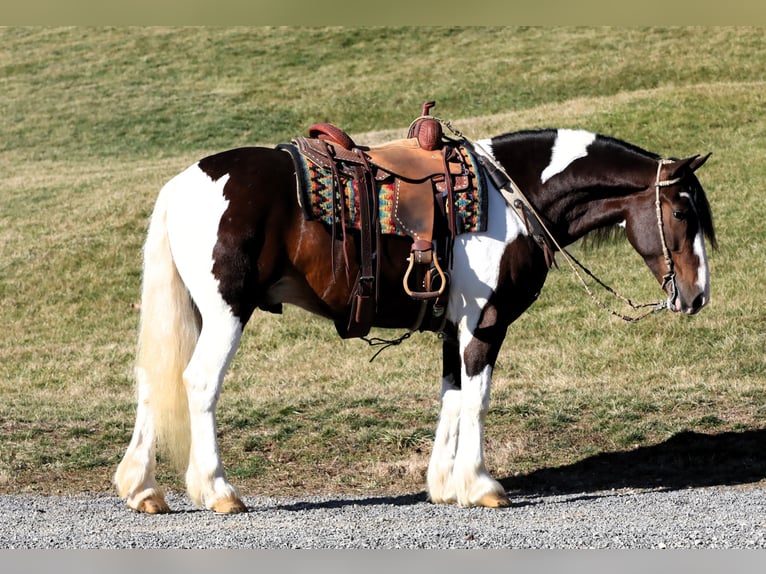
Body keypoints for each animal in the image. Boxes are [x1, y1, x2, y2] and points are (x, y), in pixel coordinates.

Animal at [114, 124, 720, 516]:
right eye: (681, 211)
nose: (696, 297)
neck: (514, 197)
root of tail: (184, 184)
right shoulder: (485, 323)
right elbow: (477, 400)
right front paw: (481, 484)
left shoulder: (454, 328)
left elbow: (451, 398)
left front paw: (445, 485)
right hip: (227, 311)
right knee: (198, 384)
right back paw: (219, 491)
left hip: (195, 312)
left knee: (152, 382)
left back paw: (143, 490)